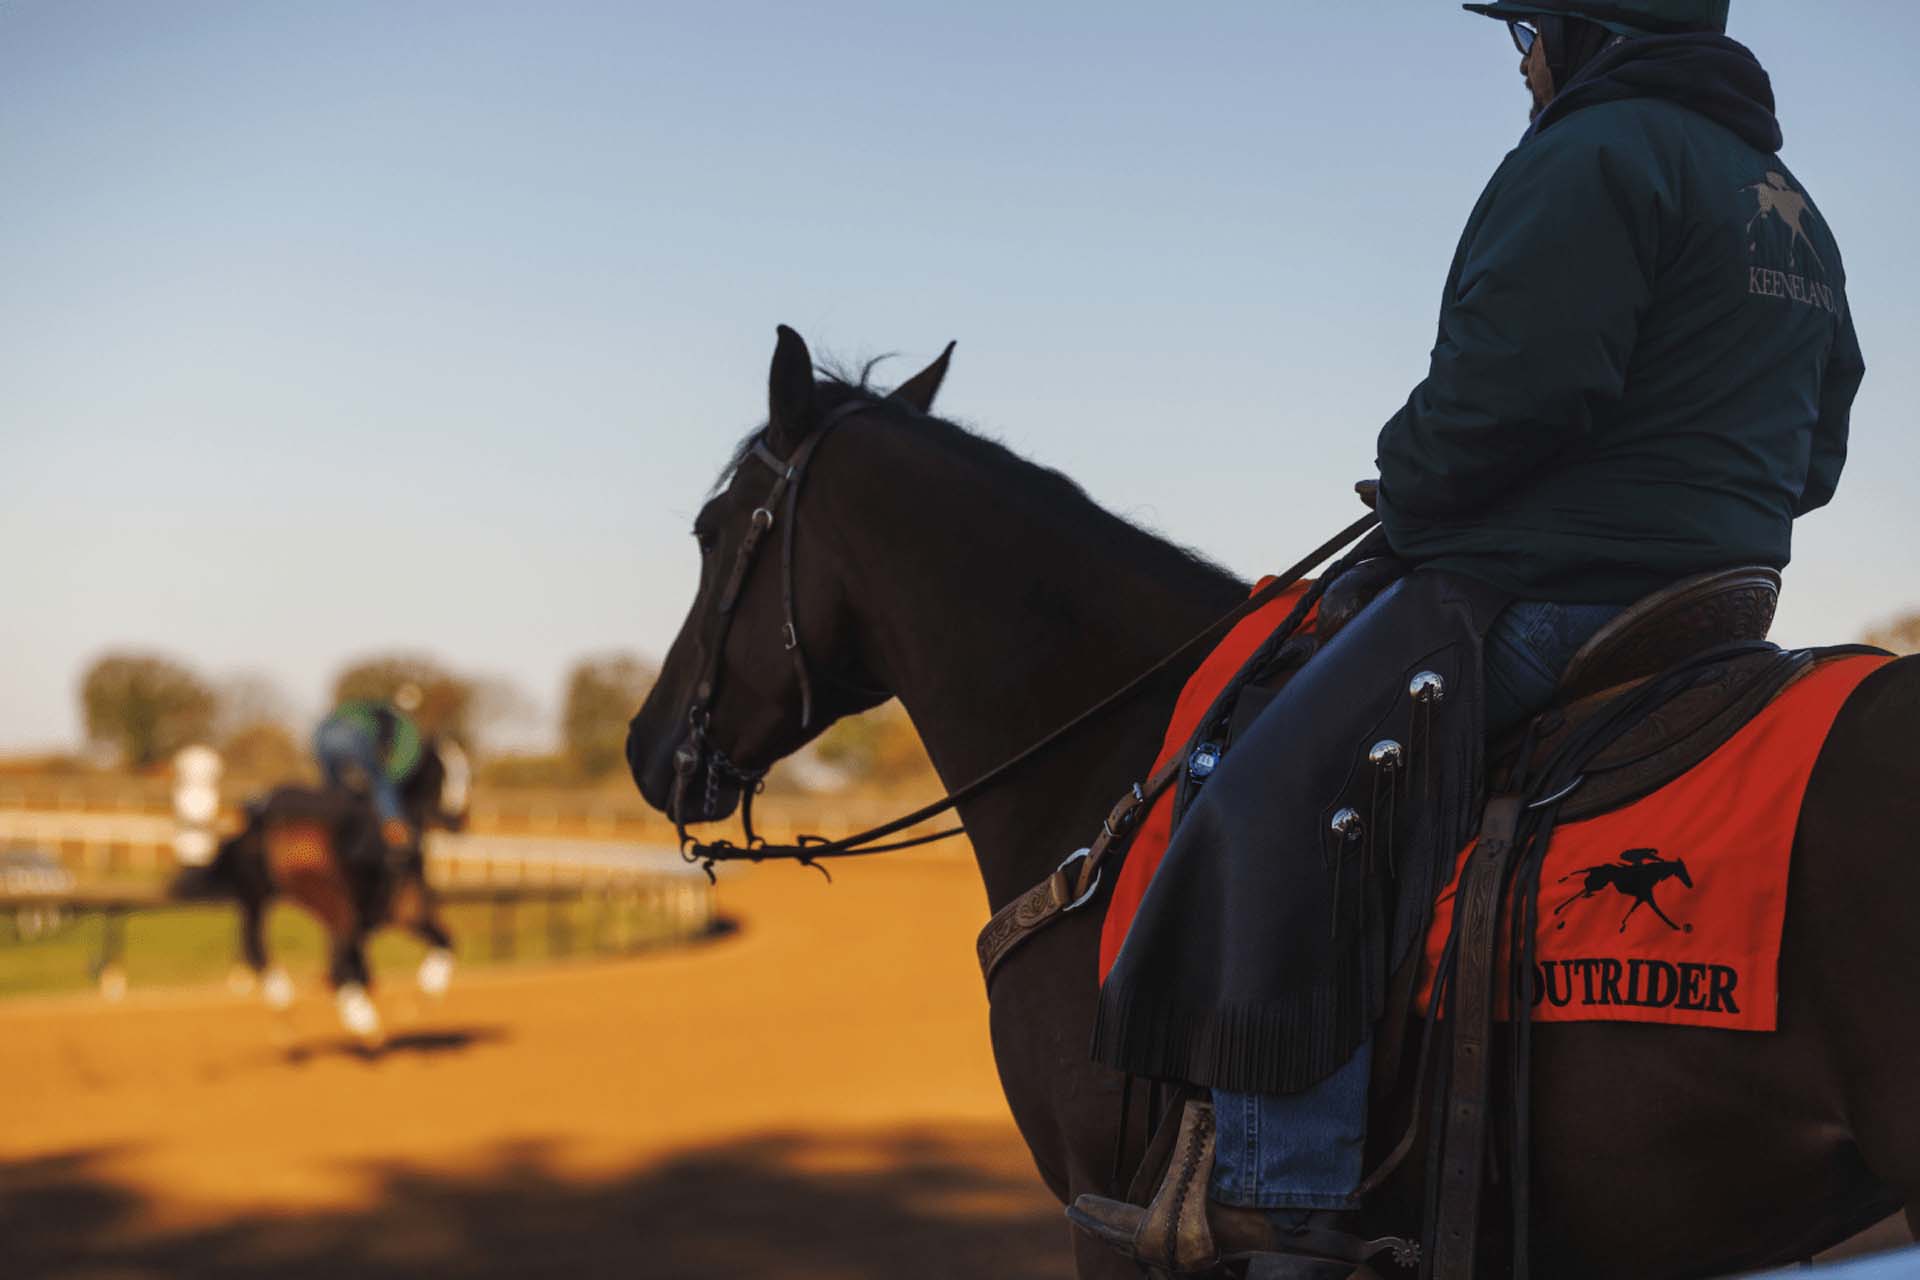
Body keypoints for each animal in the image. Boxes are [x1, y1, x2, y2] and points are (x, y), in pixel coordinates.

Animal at [178, 740, 470, 1043]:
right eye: (447, 772)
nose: (459, 820)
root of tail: (266, 816)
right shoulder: (390, 912)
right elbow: (353, 962)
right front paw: (408, 1003)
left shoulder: (389, 917)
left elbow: (435, 944)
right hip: (327, 898)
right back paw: (363, 1023)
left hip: (256, 896)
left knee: (255, 947)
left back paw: (287, 1014)